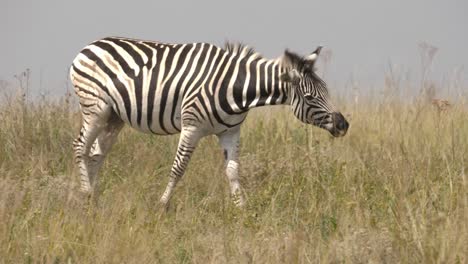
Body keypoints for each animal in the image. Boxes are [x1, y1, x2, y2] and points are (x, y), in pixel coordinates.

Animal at [69, 36, 348, 207]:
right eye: (310, 97)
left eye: (326, 90)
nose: (343, 125)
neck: (237, 90)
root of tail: (90, 45)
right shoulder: (191, 127)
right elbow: (178, 167)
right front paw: (162, 205)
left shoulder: (231, 132)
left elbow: (233, 170)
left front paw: (242, 210)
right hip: (95, 108)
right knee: (80, 147)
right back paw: (85, 193)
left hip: (113, 117)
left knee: (96, 155)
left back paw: (92, 201)